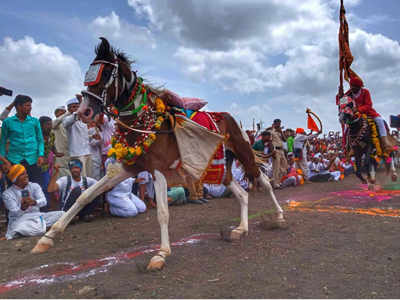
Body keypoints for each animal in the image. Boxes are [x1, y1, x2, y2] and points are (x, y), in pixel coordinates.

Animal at [32, 37, 288, 270]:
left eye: (105, 75)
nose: (84, 111)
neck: (145, 123)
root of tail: (231, 118)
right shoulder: (129, 168)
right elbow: (86, 195)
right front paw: (48, 237)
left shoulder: (158, 170)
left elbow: (163, 212)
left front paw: (161, 253)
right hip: (218, 168)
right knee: (242, 194)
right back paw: (241, 228)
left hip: (243, 152)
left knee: (264, 182)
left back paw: (279, 216)